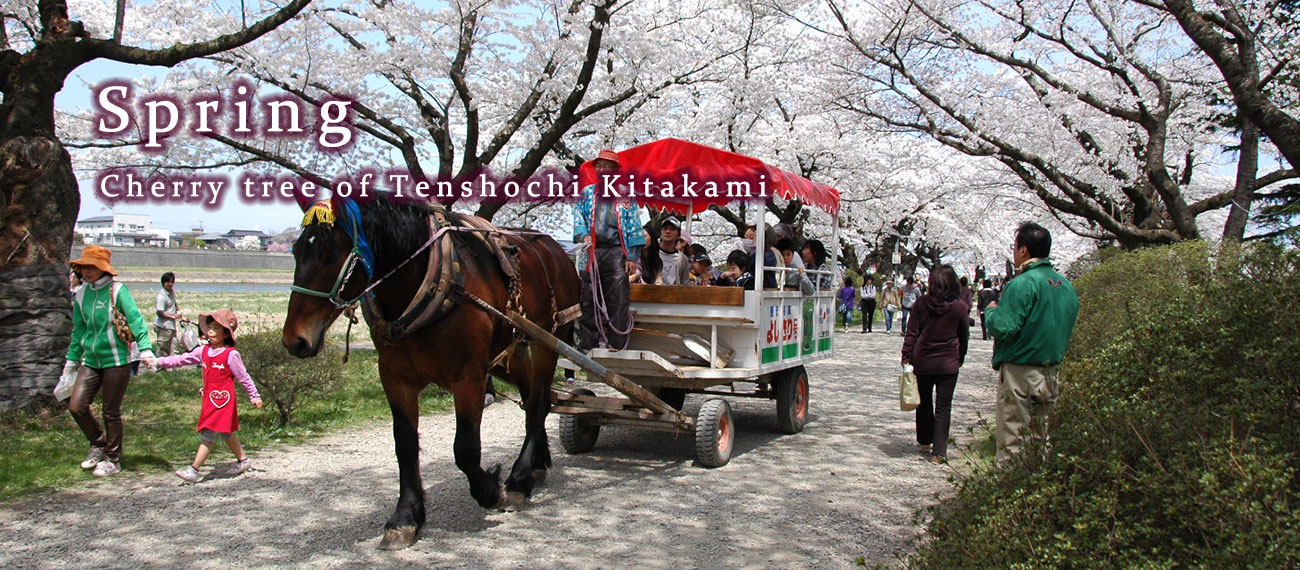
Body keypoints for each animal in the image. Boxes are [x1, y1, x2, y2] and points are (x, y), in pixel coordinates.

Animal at [283, 195, 579, 546]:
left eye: (329, 255)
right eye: (295, 250)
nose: (295, 340)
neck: (431, 281)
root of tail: (553, 247)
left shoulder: (470, 377)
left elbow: (465, 449)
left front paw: (491, 491)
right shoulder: (395, 377)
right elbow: (405, 444)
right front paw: (405, 516)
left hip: (549, 340)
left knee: (536, 405)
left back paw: (519, 479)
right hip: (514, 348)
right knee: (536, 397)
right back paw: (537, 463)